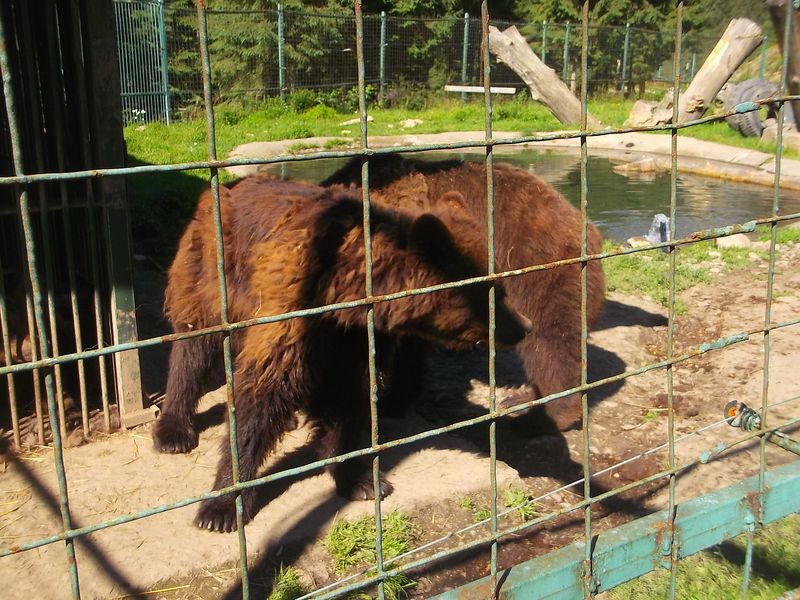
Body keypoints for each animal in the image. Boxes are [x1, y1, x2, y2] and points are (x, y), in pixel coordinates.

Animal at [152, 174, 532, 532]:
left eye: (501, 283)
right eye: (491, 291)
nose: (523, 326)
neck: (341, 294)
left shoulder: (353, 337)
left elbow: (349, 396)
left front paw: (361, 479)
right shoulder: (293, 309)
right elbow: (263, 392)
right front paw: (222, 507)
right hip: (210, 271)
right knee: (193, 345)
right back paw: (174, 430)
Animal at [323, 155, 606, 431]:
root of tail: (589, 229)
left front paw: (383, 403)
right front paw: (397, 398)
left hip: (542, 273)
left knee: (550, 343)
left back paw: (538, 418)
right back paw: (523, 398)